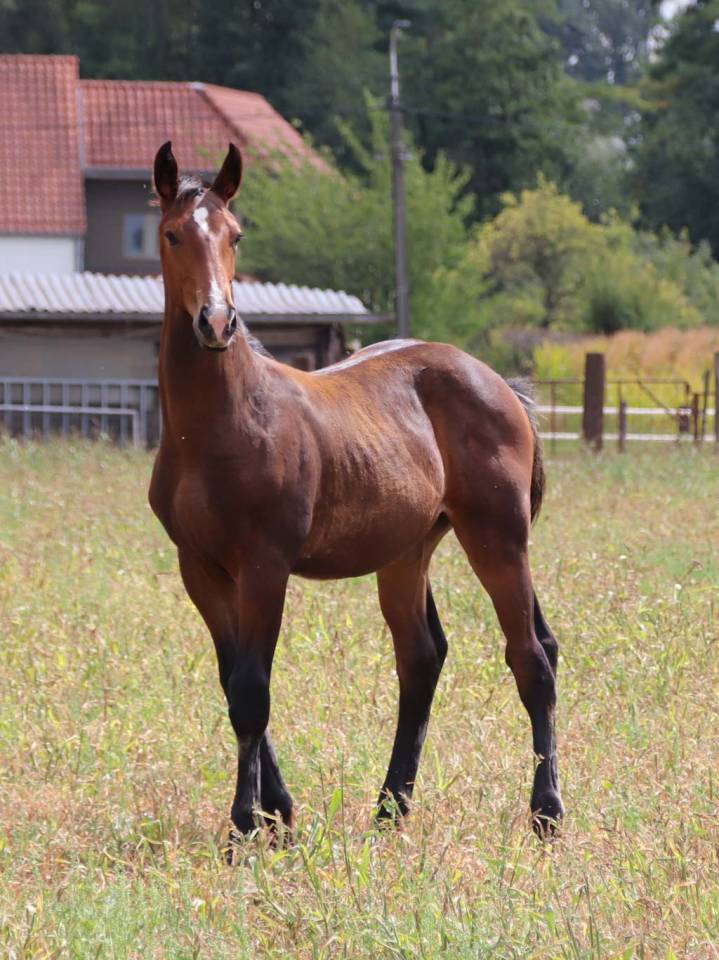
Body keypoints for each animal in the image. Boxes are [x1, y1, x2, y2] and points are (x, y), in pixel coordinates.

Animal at [149, 141, 564, 852]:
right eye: (174, 233)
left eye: (235, 235)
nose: (217, 322)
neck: (221, 423)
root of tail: (499, 384)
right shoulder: (199, 568)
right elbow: (233, 684)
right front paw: (278, 814)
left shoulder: (265, 567)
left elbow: (253, 690)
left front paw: (244, 829)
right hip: (406, 552)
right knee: (421, 658)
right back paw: (391, 807)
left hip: (499, 539)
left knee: (531, 659)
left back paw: (547, 813)